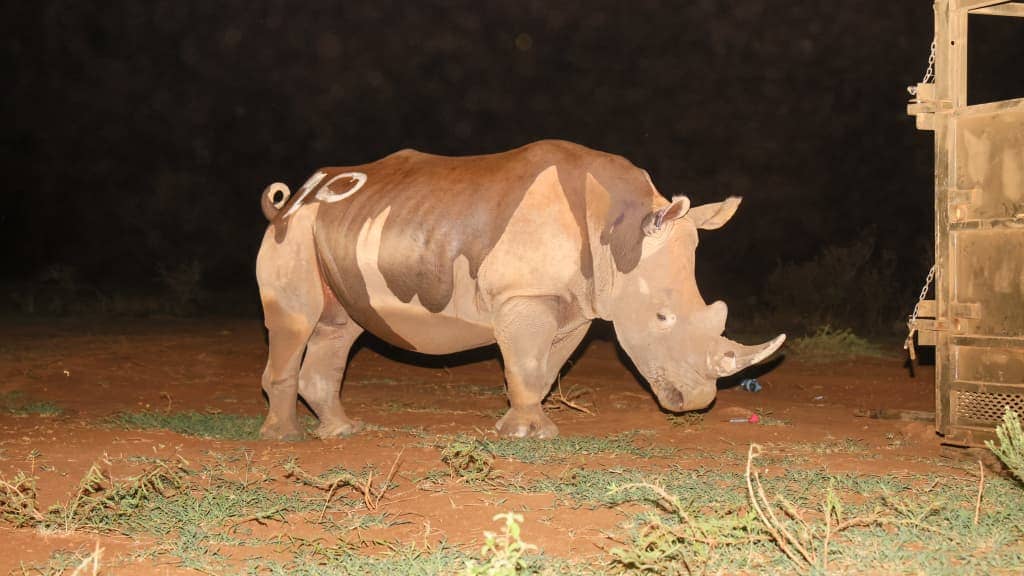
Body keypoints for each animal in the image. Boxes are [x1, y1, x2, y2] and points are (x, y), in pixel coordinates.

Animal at [255, 140, 784, 440]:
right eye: (661, 317)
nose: (696, 401)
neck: (621, 235)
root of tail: (290, 200)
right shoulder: (525, 294)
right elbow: (526, 364)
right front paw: (525, 435)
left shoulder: (576, 305)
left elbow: (545, 368)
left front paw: (533, 428)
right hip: (295, 231)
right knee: (296, 321)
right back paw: (283, 439)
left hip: (333, 230)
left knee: (338, 327)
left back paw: (341, 432)